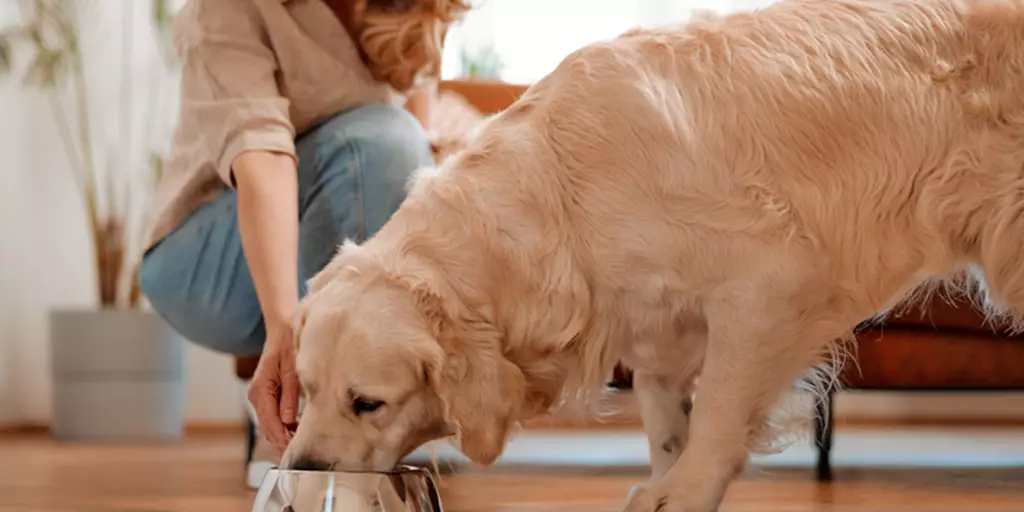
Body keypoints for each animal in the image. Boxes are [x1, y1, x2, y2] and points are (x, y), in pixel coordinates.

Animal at [280, 0, 1024, 509]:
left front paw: (686, 490)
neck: (563, 195)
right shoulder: (656, 321)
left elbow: (720, 405)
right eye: (306, 390)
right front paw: (668, 473)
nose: (302, 468)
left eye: (368, 403)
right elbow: (667, 416)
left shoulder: (767, 286)